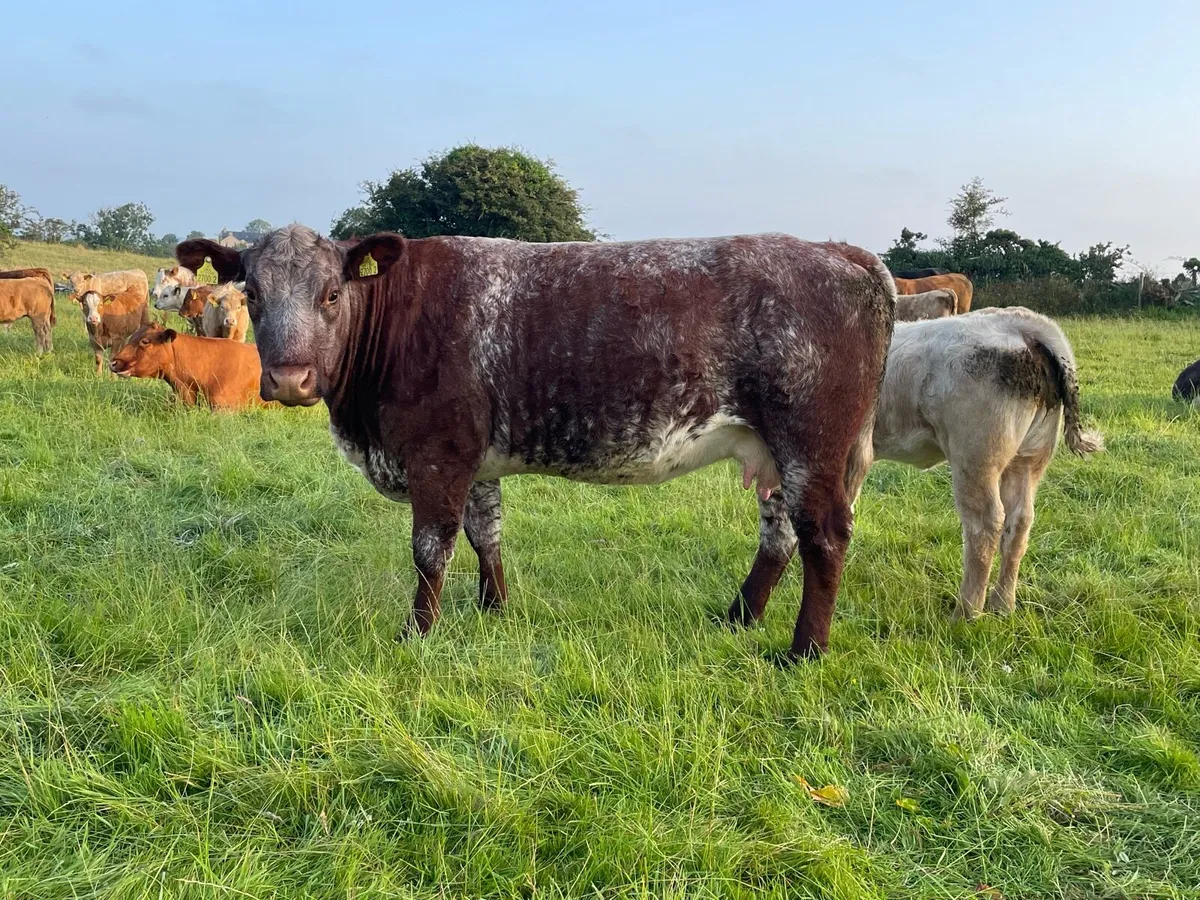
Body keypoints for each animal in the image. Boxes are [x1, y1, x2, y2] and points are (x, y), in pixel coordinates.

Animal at [177, 225, 896, 659]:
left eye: (331, 293)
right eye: (252, 292)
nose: (288, 379)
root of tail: (839, 249)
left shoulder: (437, 453)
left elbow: (431, 548)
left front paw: (416, 634)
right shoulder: (474, 458)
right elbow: (485, 532)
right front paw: (493, 607)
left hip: (812, 440)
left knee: (825, 535)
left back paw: (803, 650)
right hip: (773, 449)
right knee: (780, 533)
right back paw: (740, 616)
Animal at [854, 307, 1102, 620]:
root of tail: (1019, 322)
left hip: (975, 457)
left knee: (985, 524)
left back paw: (966, 612)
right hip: (1029, 457)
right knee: (1019, 521)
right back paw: (1003, 605)